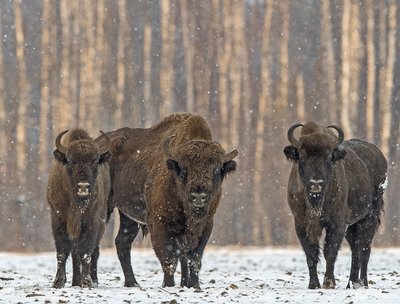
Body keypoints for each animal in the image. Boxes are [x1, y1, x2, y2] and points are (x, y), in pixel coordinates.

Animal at [47, 128, 111, 288]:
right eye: (70, 161)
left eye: (95, 161)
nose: (83, 186)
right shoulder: (58, 220)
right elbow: (62, 252)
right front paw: (58, 282)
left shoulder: (92, 222)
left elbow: (86, 252)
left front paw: (87, 282)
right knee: (74, 252)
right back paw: (75, 281)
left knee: (94, 252)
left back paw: (92, 280)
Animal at [98, 113, 238, 288]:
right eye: (183, 168)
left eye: (217, 169)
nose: (199, 195)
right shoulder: (160, 224)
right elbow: (169, 258)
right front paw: (169, 285)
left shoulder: (205, 225)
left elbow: (194, 258)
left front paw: (193, 285)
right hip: (105, 208)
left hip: (128, 217)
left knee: (122, 242)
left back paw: (133, 283)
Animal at [282, 121, 386, 290]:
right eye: (302, 157)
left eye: (329, 157)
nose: (316, 183)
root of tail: (378, 154)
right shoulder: (301, 224)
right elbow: (311, 253)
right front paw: (314, 285)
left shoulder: (336, 223)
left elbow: (330, 251)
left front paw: (329, 283)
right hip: (352, 225)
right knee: (355, 248)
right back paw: (351, 283)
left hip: (370, 217)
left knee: (365, 248)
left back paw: (363, 283)